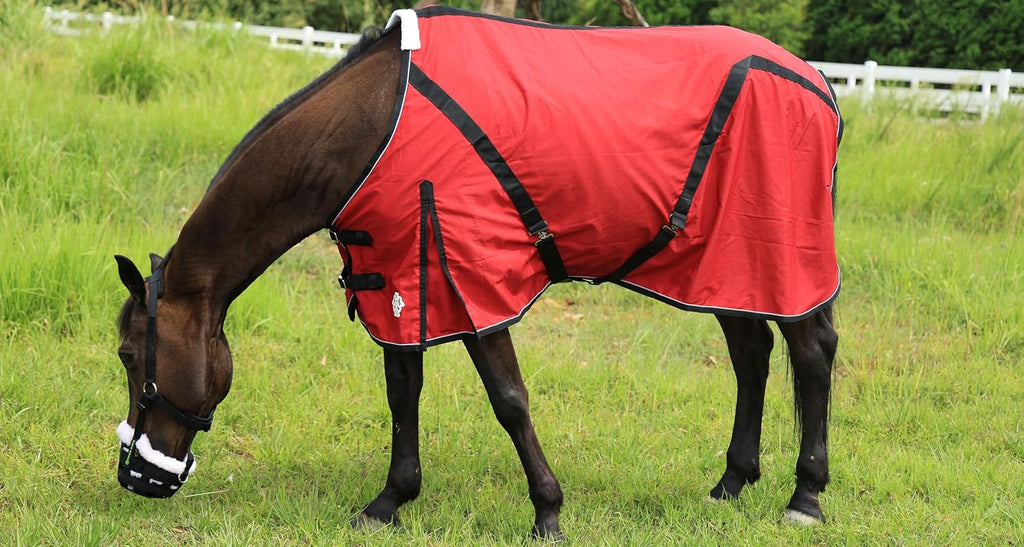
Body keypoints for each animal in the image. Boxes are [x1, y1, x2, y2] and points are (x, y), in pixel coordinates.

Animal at [113, 7, 840, 539]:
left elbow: (509, 400)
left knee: (810, 353)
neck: (372, 126)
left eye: (128, 355)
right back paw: (730, 484)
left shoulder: (471, 276)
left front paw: (547, 511)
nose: (137, 476)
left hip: (778, 257)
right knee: (752, 354)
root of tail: (818, 82)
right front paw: (390, 500)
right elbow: (402, 392)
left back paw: (804, 495)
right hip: (725, 265)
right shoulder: (400, 274)